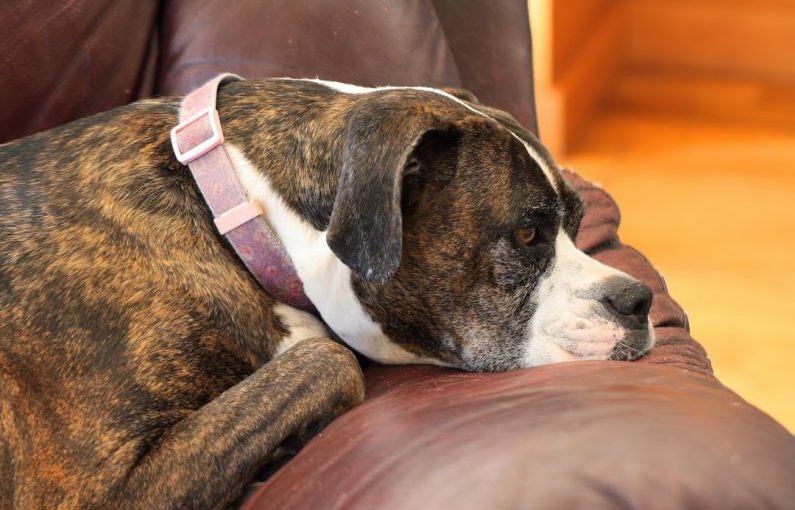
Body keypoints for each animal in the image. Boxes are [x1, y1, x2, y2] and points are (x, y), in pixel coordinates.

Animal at [0, 75, 652, 510]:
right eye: (526, 234)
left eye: (577, 223)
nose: (639, 300)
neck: (237, 208)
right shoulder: (96, 490)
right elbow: (325, 357)